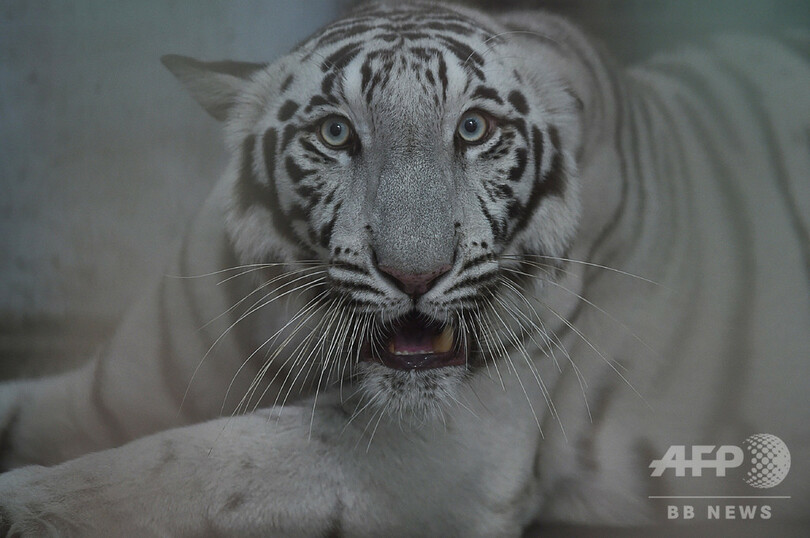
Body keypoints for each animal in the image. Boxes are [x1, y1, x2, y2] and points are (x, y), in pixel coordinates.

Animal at [1, 0, 808, 532]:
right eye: (335, 133)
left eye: (474, 129)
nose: (416, 275)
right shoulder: (101, 397)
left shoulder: (447, 449)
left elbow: (199, 462)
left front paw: (29, 505)